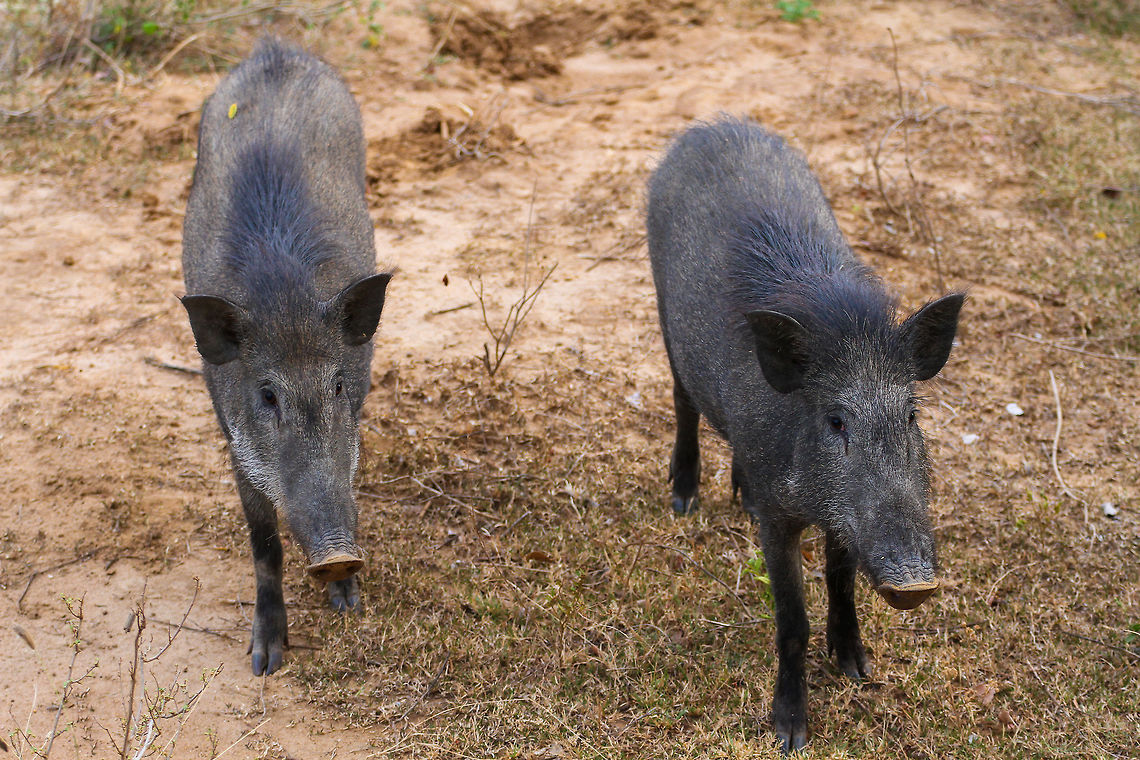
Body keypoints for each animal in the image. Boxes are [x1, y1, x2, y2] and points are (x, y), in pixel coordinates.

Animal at [181, 38, 391, 675]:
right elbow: (264, 543)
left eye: (340, 385)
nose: (340, 556)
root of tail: (275, 48)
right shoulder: (234, 439)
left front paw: (347, 606)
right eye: (267, 394)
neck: (284, 299)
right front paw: (265, 663)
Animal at [646, 117, 963, 753]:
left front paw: (857, 669)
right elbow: (792, 619)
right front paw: (789, 735)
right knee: (683, 402)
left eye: (911, 415)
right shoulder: (778, 518)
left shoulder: (842, 520)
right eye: (836, 420)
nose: (916, 584)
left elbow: (841, 579)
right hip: (666, 323)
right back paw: (683, 500)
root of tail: (710, 125)